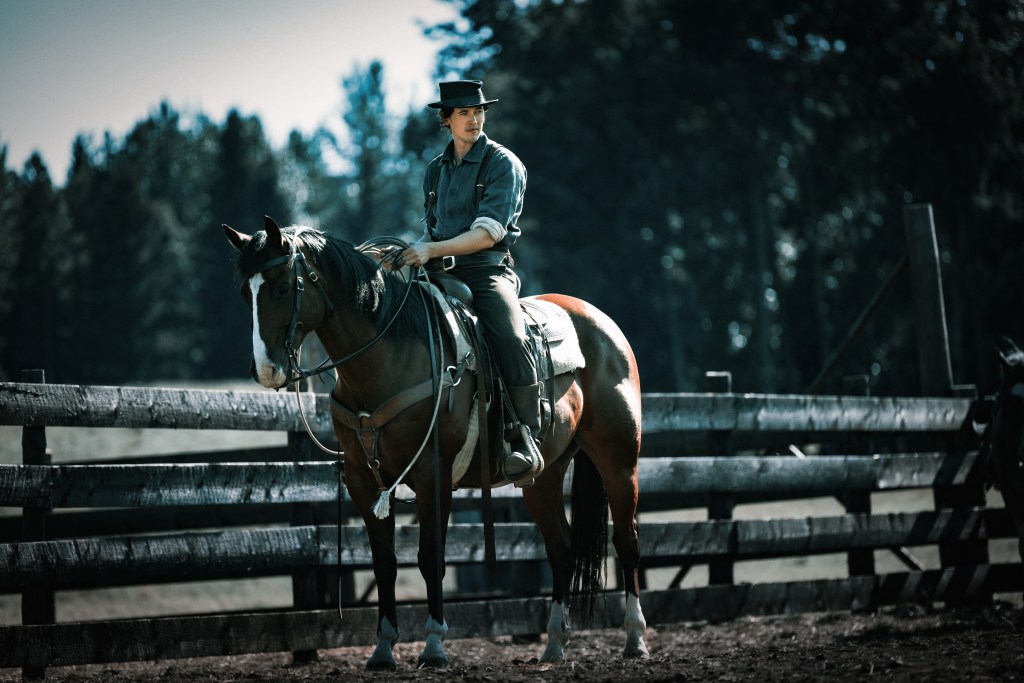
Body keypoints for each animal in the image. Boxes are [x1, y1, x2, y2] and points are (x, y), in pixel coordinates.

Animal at [223, 217, 649, 669]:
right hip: (545, 474)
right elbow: (385, 563)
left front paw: (433, 646)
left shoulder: (433, 475)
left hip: (619, 460)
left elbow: (431, 558)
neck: (387, 359)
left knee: (627, 542)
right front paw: (382, 650)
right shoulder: (361, 480)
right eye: (244, 291)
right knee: (562, 549)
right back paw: (553, 645)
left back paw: (635, 639)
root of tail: (601, 322)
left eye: (283, 287)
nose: (266, 371)